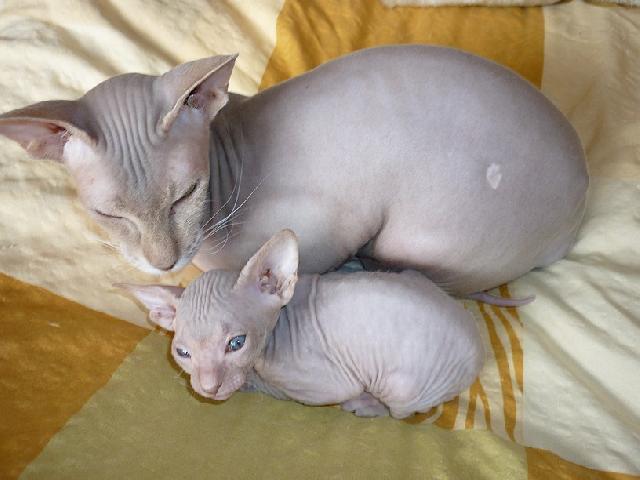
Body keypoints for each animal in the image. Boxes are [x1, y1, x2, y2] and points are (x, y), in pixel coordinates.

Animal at [0, 45, 588, 296]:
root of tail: (581, 201)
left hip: (419, 236)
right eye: (109, 215)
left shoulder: (334, 224)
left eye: (185, 194)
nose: (163, 263)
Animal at [120, 229, 484, 419]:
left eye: (236, 344)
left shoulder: (324, 385)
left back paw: (368, 405)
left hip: (403, 384)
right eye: (183, 354)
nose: (208, 387)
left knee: (401, 411)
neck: (280, 326)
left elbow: (274, 388)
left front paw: (246, 382)